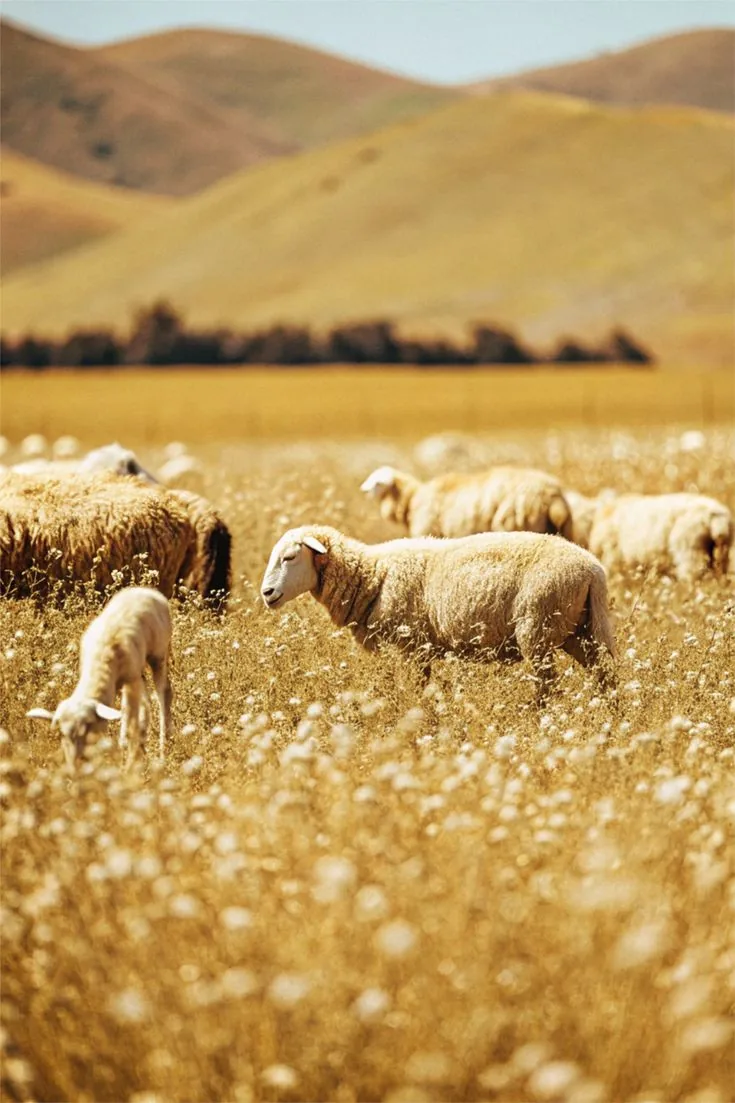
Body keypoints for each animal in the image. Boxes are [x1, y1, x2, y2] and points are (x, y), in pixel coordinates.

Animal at [27, 587, 173, 766]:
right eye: (61, 734)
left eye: (88, 728)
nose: (76, 764)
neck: (103, 654)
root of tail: (147, 590)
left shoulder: (131, 678)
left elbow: (130, 718)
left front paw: (128, 760)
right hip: (141, 670)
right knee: (147, 701)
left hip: (158, 654)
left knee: (163, 693)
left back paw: (163, 747)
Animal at [261, 525, 615, 704]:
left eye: (290, 557)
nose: (267, 594)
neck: (372, 576)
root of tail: (593, 570)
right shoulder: (420, 651)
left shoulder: (410, 647)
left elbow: (416, 691)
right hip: (579, 632)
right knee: (605, 677)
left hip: (538, 630)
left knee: (549, 686)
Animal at [361, 465, 574, 541]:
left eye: (377, 483)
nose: (363, 490)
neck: (413, 498)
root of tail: (552, 496)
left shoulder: (426, 530)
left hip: (518, 523)